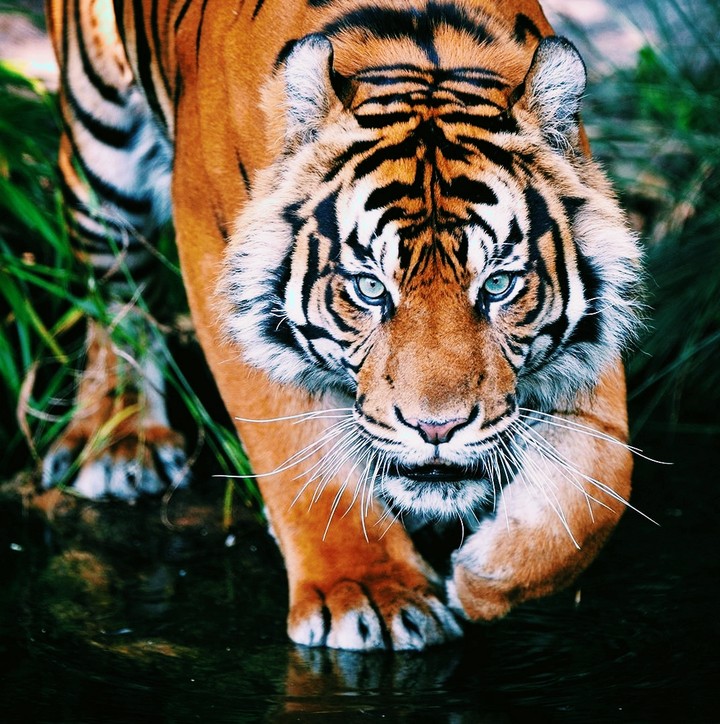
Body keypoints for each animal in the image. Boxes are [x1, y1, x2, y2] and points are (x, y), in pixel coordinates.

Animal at [44, 0, 643, 650]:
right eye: (370, 288)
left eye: (497, 285)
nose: (437, 429)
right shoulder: (216, 271)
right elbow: (302, 458)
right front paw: (366, 593)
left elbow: (603, 486)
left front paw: (482, 580)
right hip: (101, 153)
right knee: (112, 295)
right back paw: (120, 440)